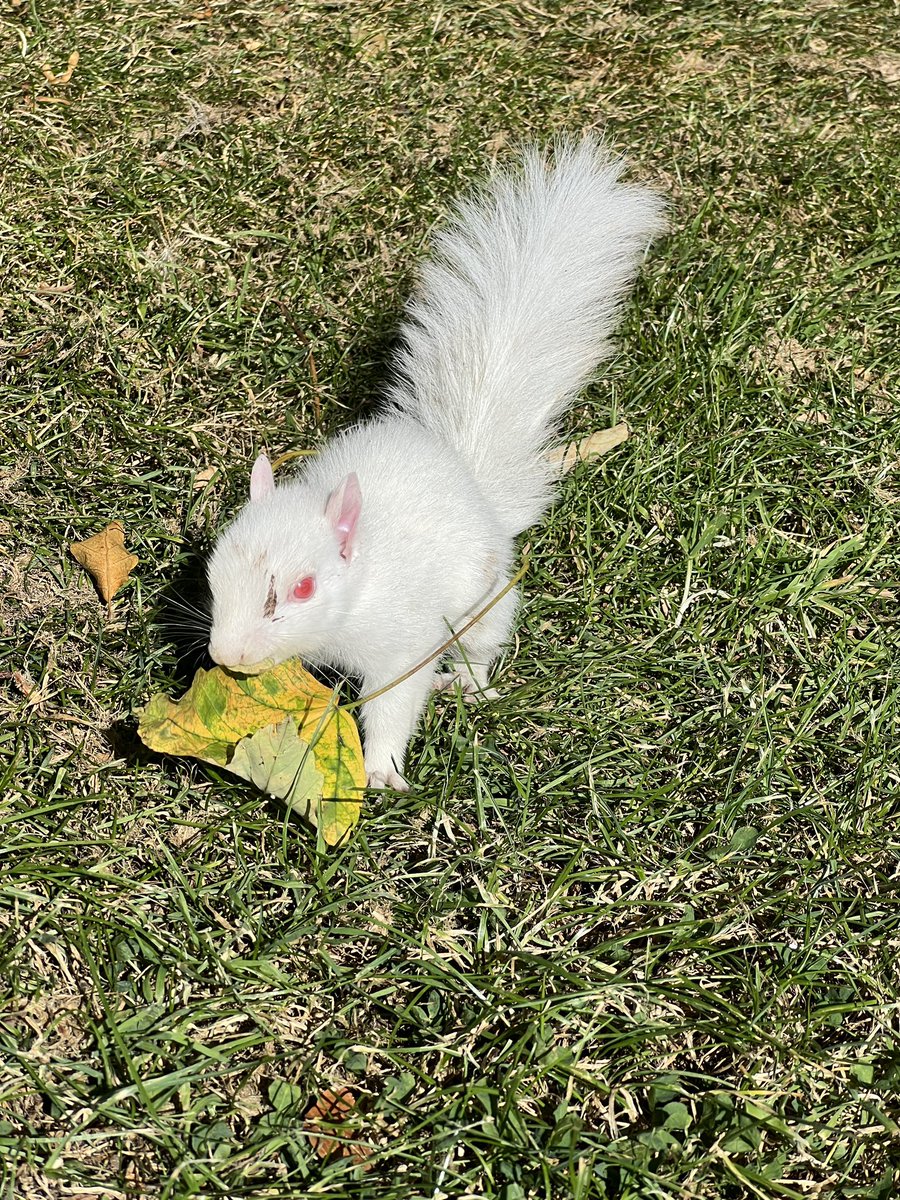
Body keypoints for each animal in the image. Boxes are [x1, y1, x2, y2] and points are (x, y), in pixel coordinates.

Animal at [206, 135, 665, 790]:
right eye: (215, 570)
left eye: (303, 587)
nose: (226, 656)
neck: (359, 588)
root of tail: (463, 472)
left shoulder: (403, 640)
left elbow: (396, 700)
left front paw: (380, 770)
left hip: (486, 601)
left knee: (481, 645)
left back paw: (470, 684)